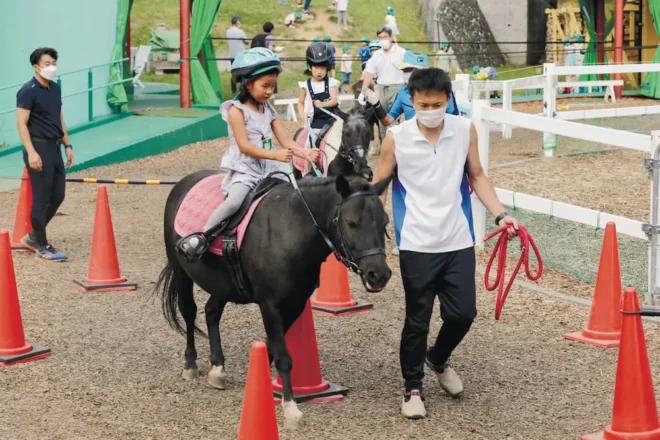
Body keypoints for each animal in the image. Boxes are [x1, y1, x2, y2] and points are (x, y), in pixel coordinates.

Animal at [155, 171, 392, 430]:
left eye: (385, 222)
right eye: (351, 222)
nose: (379, 274)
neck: (290, 229)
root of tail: (185, 181)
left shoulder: (295, 304)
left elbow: (271, 349)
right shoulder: (269, 305)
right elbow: (283, 357)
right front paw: (290, 409)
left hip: (222, 284)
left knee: (211, 312)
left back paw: (217, 369)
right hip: (181, 272)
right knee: (189, 312)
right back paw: (190, 364)